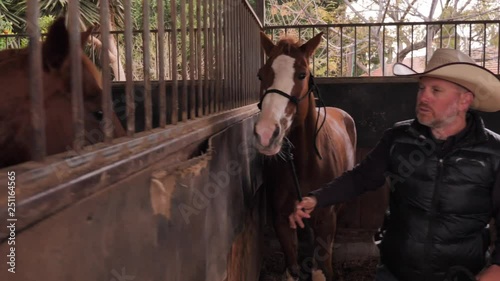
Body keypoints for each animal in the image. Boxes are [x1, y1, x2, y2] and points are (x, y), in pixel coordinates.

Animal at [256, 31, 358, 278]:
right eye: (261, 75)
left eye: (302, 75)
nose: (265, 133)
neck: (304, 165)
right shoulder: (281, 220)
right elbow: (292, 267)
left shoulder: (326, 219)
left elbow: (322, 268)